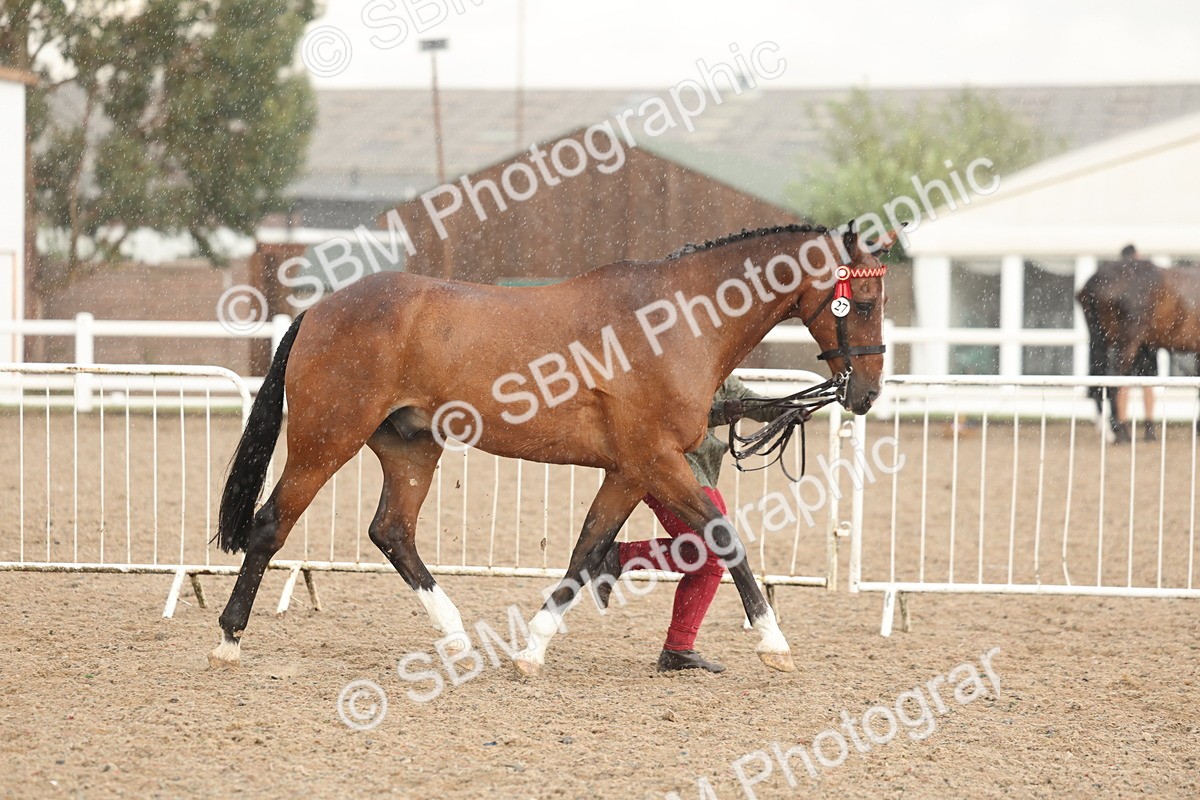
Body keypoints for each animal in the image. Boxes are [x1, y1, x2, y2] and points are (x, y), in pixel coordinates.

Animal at [209, 222, 896, 676]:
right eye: (862, 302)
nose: (864, 393)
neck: (676, 321)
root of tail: (321, 309)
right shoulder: (656, 461)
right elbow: (724, 537)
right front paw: (773, 642)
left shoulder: (629, 469)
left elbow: (588, 548)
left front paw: (533, 647)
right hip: (325, 442)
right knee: (272, 525)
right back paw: (229, 639)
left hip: (411, 449)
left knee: (392, 532)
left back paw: (455, 639)